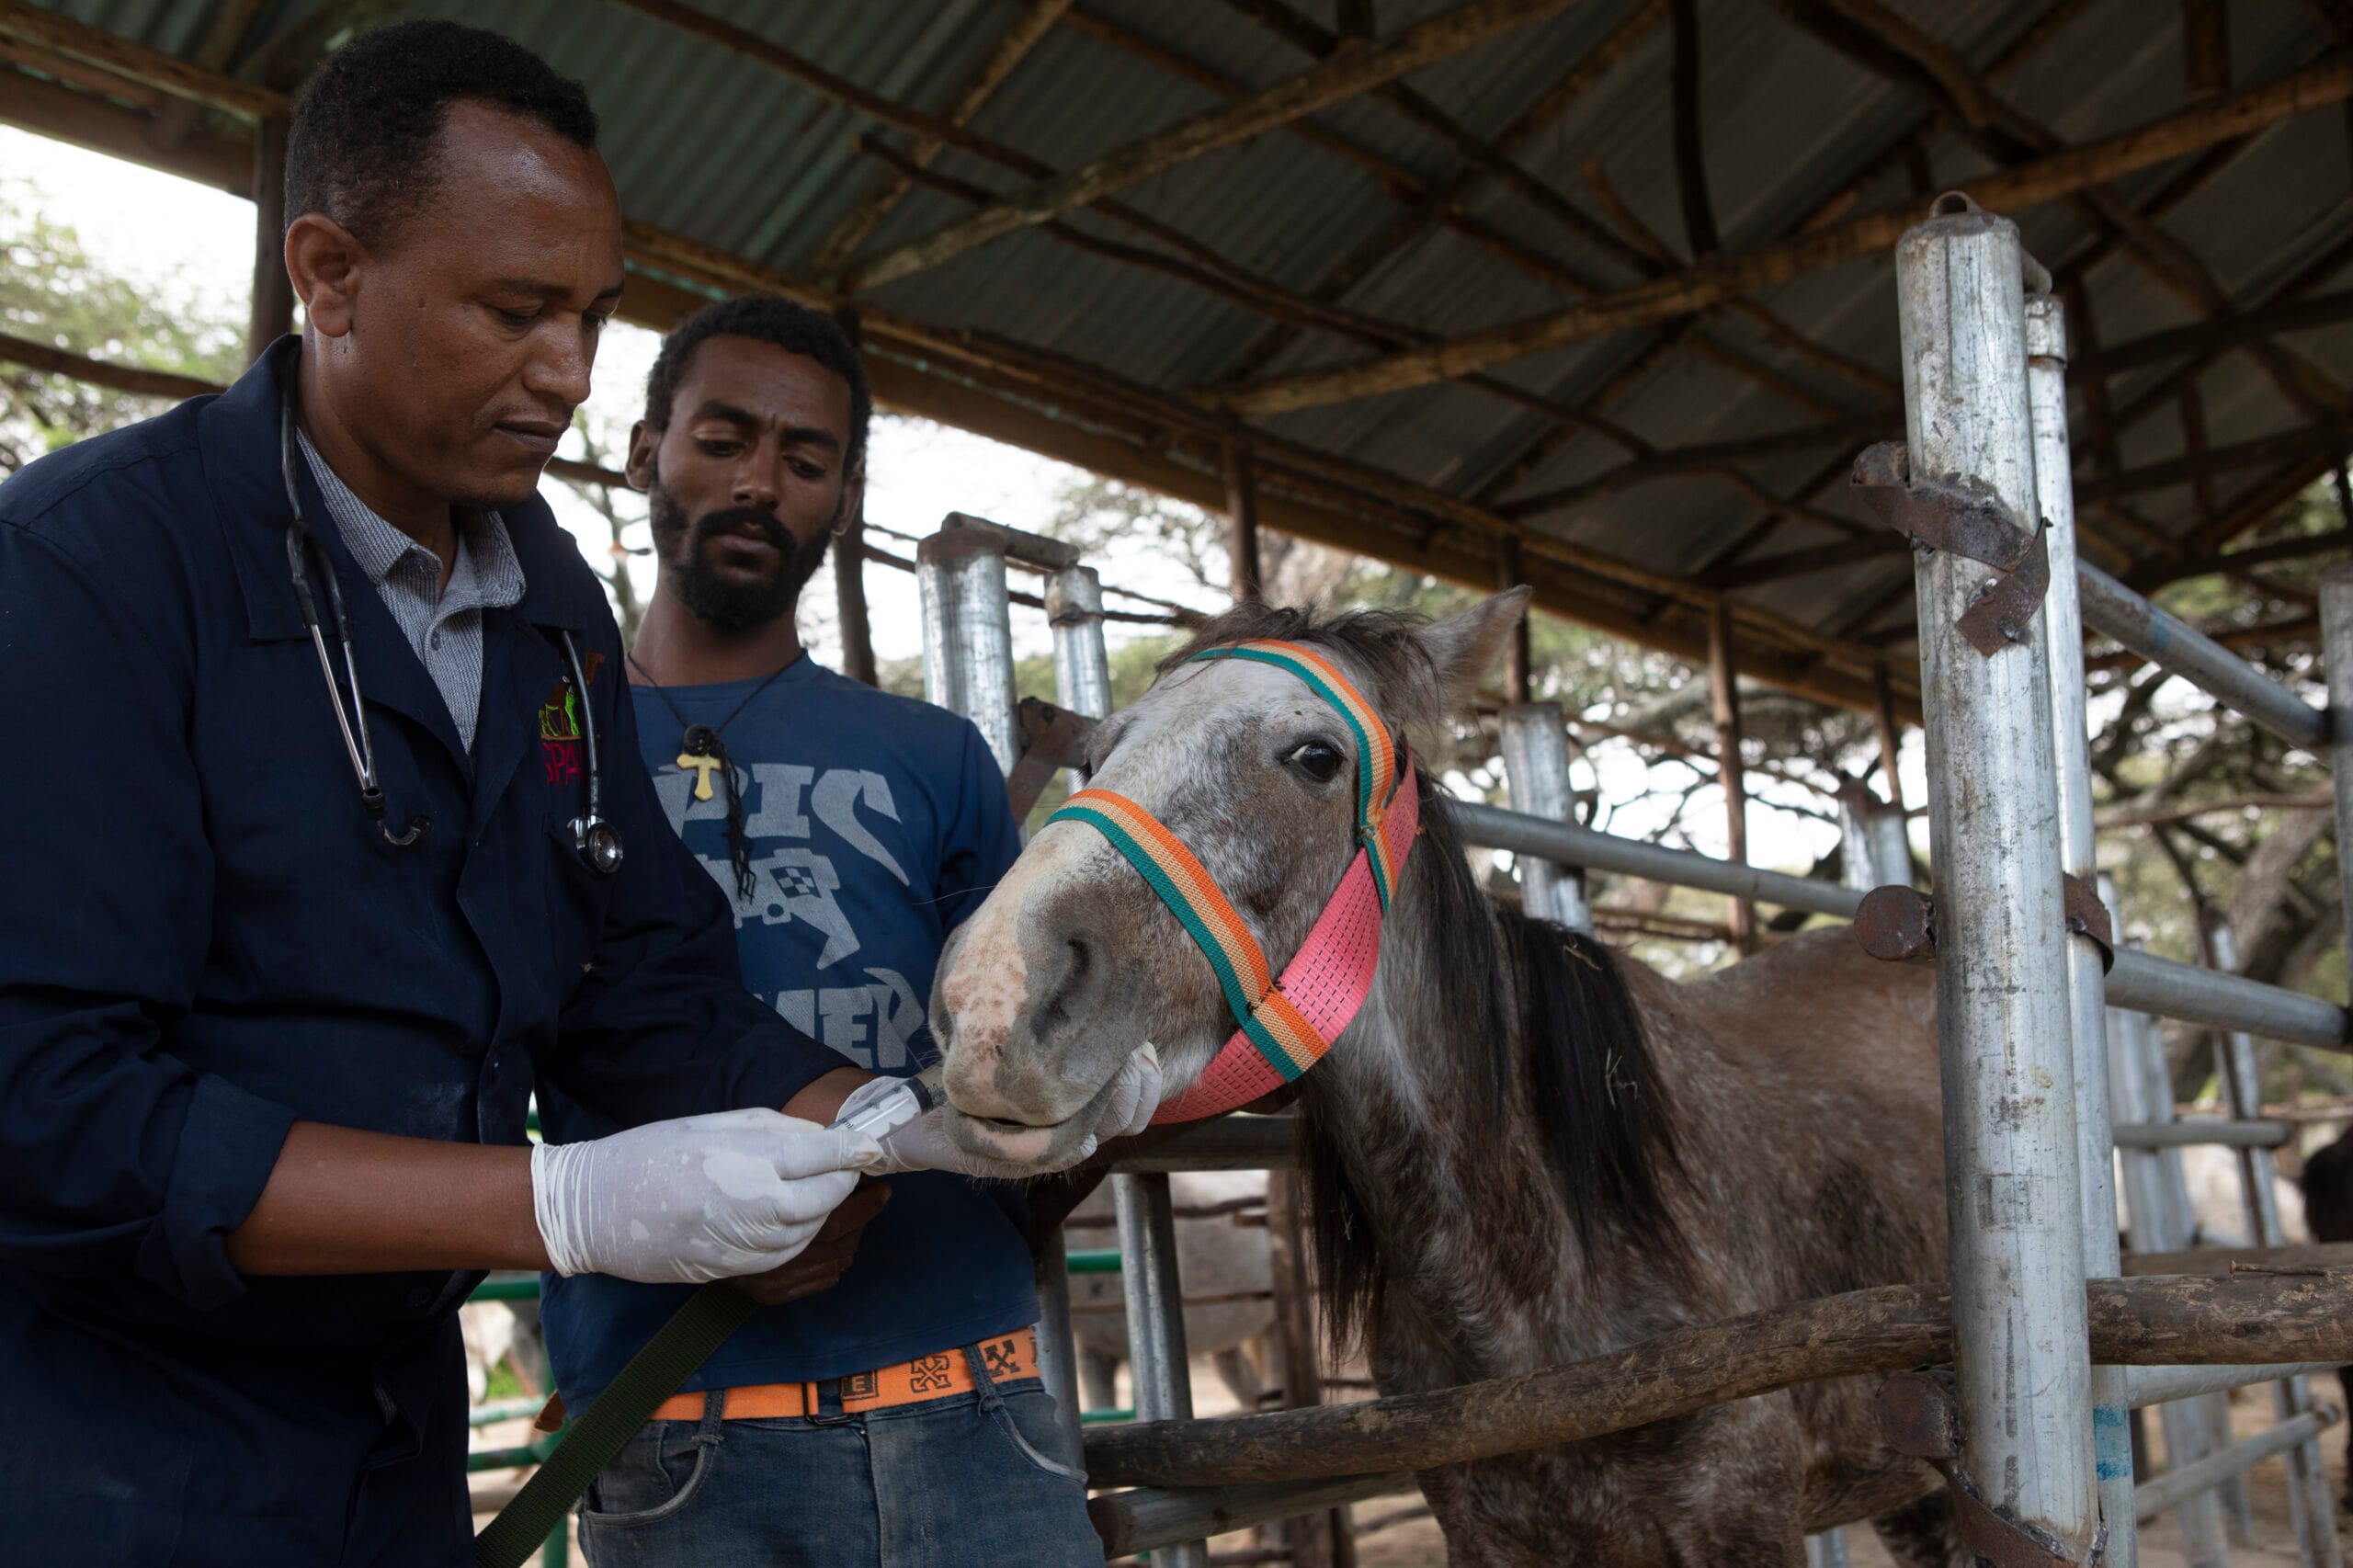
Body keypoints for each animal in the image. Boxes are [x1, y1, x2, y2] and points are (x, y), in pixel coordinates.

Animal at [926, 593, 1957, 1553]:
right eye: (1099, 752)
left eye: (1315, 756)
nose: (993, 995)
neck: (1531, 1257)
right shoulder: (1488, 1532)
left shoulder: (1738, 1518)